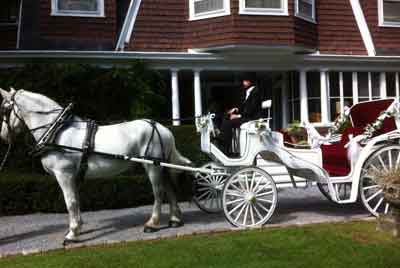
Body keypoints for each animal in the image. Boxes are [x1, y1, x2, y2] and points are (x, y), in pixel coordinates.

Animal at [0, 87, 191, 243]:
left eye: (5, 110)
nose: (3, 136)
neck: (57, 132)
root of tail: (162, 128)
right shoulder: (72, 176)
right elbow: (76, 200)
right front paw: (78, 227)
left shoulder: (64, 175)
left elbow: (70, 202)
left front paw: (72, 234)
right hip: (160, 166)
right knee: (169, 188)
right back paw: (175, 220)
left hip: (152, 166)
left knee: (159, 192)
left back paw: (152, 224)